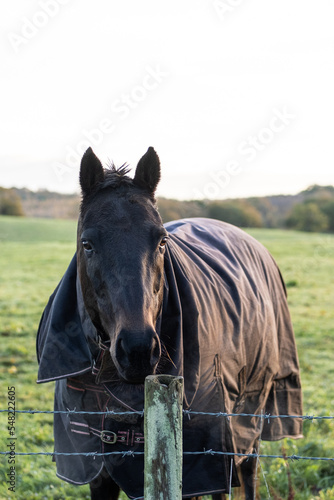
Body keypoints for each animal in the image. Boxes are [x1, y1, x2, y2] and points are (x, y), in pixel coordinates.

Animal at [37, 147, 302, 500]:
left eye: (162, 242)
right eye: (87, 244)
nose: (137, 351)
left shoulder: (199, 463)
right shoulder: (98, 473)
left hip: (246, 420)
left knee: (247, 473)